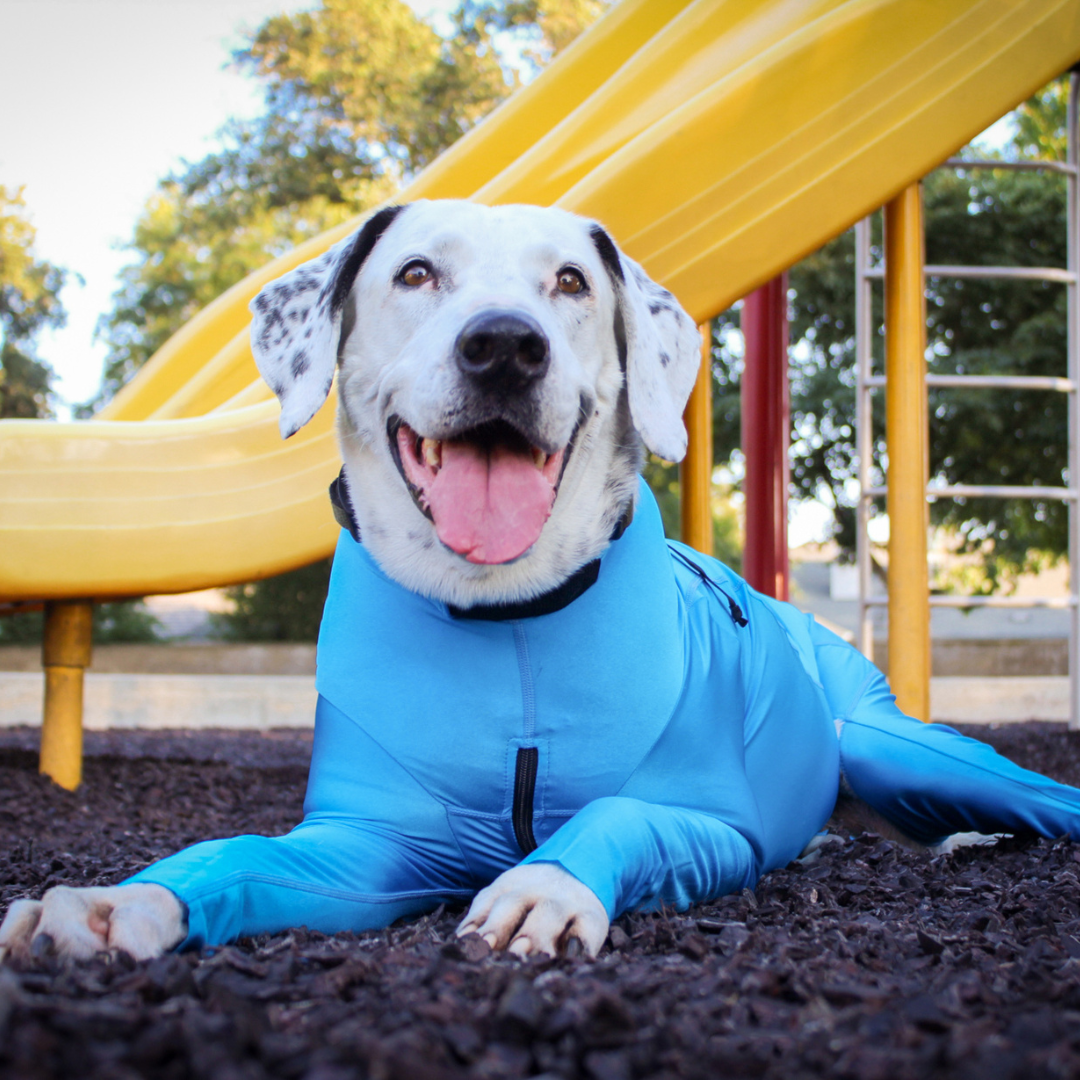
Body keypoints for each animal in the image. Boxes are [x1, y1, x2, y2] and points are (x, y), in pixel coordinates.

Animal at [2, 200, 1080, 963]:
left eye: (569, 281)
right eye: (416, 272)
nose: (504, 343)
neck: (507, 614)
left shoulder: (714, 824)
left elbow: (621, 814)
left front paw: (546, 888)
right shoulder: (362, 838)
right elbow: (234, 857)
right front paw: (115, 905)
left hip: (892, 742)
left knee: (1021, 790)